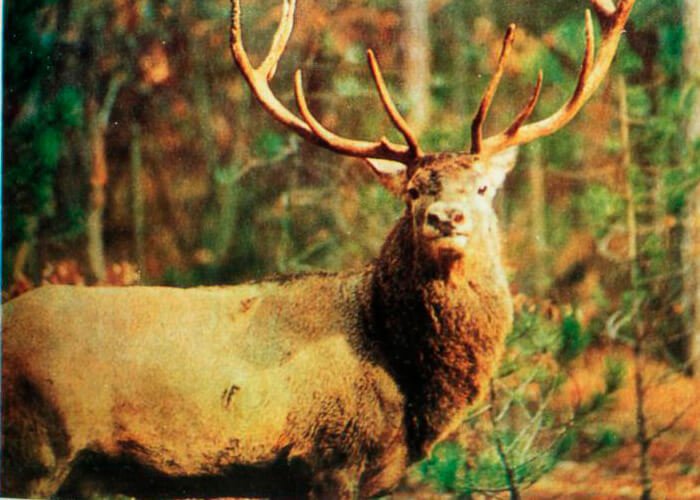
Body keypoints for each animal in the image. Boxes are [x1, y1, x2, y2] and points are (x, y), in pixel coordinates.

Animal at [1, 0, 635, 497]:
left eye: (481, 187)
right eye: (412, 190)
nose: (445, 217)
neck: (398, 368)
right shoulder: (328, 456)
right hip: (36, 453)